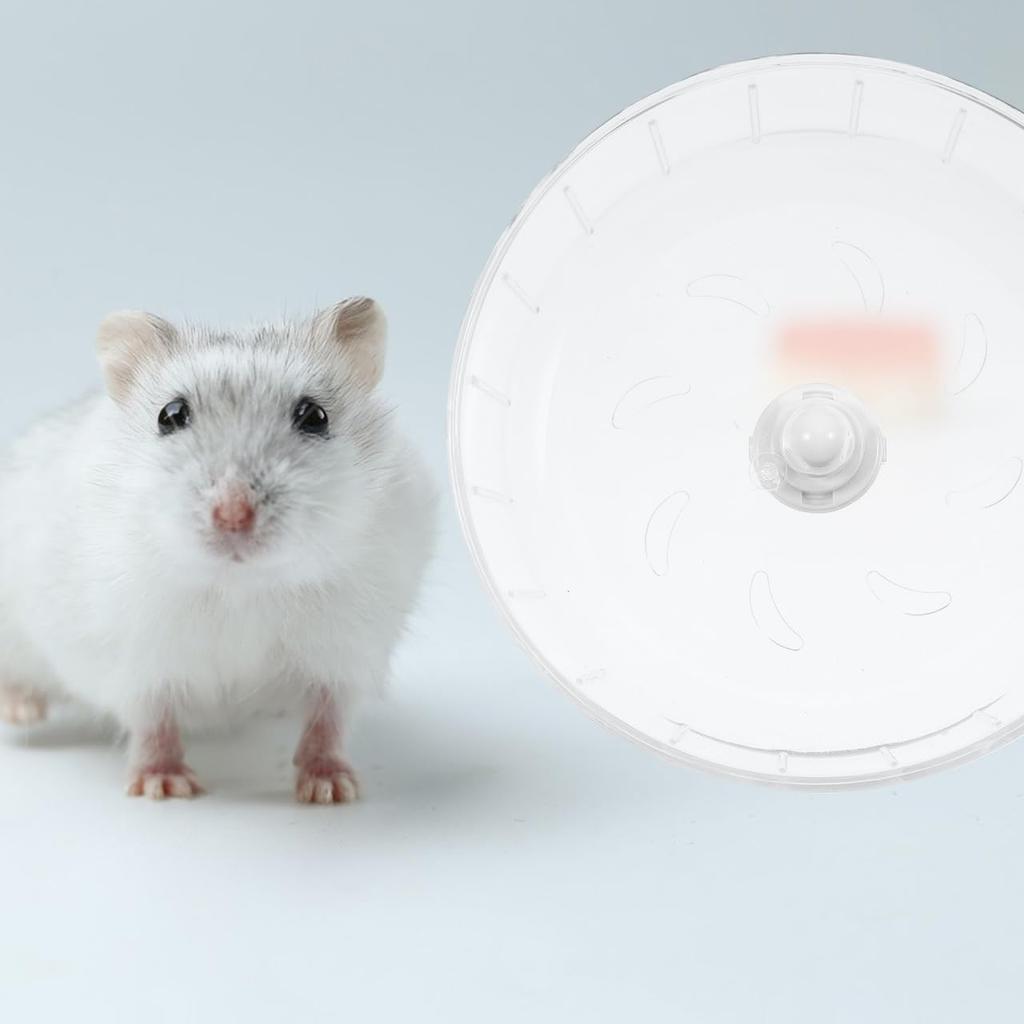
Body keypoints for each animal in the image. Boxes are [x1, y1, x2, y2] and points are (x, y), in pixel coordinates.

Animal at [0, 297, 436, 803]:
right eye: (170, 415)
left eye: (315, 416)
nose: (234, 515)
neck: (241, 584)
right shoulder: (135, 659)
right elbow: (153, 721)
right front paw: (164, 787)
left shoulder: (348, 653)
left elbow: (328, 720)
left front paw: (332, 789)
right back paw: (21, 711)